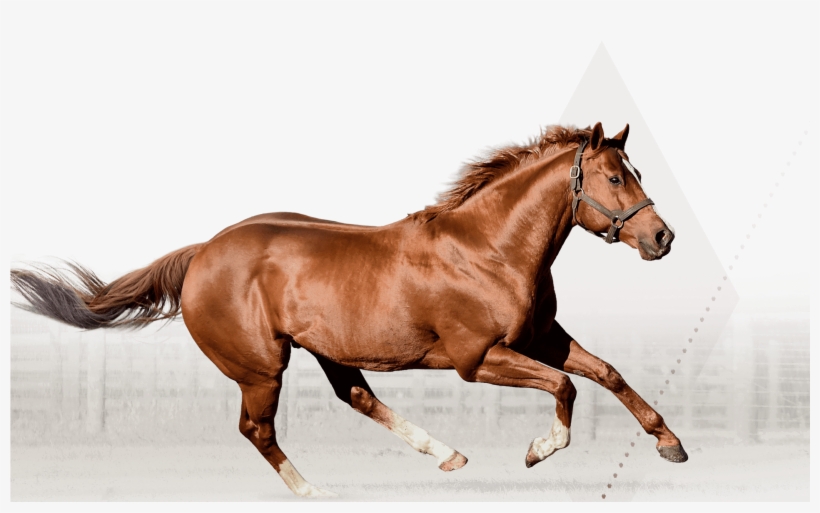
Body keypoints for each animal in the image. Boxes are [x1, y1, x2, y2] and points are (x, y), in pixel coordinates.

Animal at [11, 122, 686, 498]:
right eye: (614, 178)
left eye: (635, 170)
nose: (662, 238)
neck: (489, 248)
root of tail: (203, 252)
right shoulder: (478, 359)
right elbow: (565, 388)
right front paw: (538, 450)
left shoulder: (542, 337)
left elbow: (607, 373)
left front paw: (670, 444)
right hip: (263, 368)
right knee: (257, 429)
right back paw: (315, 490)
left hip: (327, 351)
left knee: (357, 396)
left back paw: (446, 454)